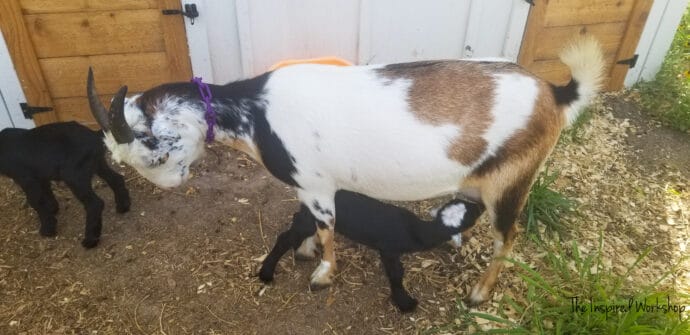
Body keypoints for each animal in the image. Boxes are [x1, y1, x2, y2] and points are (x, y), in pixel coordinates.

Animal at [0, 122, 130, 248]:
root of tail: (94, 136)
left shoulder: (27, 180)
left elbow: (36, 202)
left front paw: (47, 228)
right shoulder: (41, 176)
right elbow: (47, 192)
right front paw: (53, 208)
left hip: (75, 176)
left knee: (94, 204)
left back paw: (90, 240)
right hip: (98, 164)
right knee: (116, 179)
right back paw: (123, 207)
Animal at [260, 192, 484, 312]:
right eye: (471, 214)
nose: (481, 205)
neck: (416, 231)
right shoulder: (389, 250)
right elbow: (396, 274)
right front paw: (405, 303)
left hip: (308, 216)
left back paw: (305, 250)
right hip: (309, 220)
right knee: (285, 238)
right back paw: (266, 272)